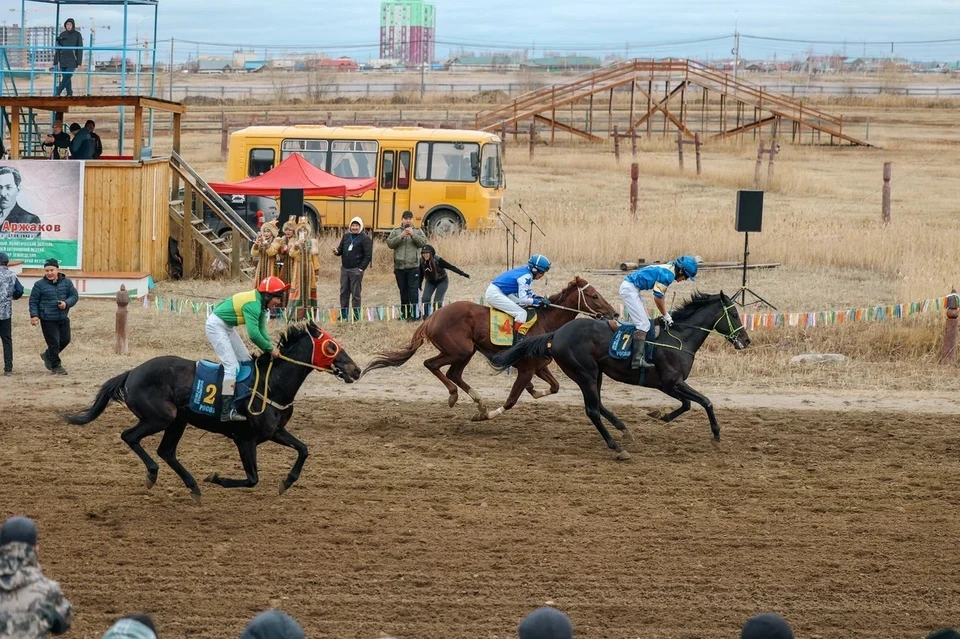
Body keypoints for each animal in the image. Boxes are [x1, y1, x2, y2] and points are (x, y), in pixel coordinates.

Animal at [63, 322, 362, 502]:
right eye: (331, 346)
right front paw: (215, 478)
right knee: (130, 436)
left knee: (166, 451)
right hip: (161, 417)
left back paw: (193, 486)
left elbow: (304, 449)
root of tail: (132, 372)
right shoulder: (245, 440)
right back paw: (153, 474)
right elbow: (252, 479)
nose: (356, 369)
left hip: (178, 421)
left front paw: (287, 482)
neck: (271, 385)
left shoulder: (275, 431)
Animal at [360, 276, 616, 420]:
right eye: (594, 296)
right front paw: (490, 414)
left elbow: (554, 387)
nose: (613, 314)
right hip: (460, 350)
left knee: (454, 373)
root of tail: (431, 317)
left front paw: (534, 390)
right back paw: (456, 397)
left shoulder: (539, 366)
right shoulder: (527, 368)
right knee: (432, 364)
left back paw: (478, 402)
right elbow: (512, 400)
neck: (545, 322)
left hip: (468, 351)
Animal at [496, 292, 752, 458]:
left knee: (598, 405)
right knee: (592, 410)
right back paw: (616, 446)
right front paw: (716, 437)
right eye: (735, 314)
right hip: (585, 373)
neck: (679, 338)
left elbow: (688, 404)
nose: (746, 340)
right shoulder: (672, 382)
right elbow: (705, 402)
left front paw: (660, 415)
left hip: (595, 374)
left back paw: (623, 429)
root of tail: (556, 334)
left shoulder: (669, 385)